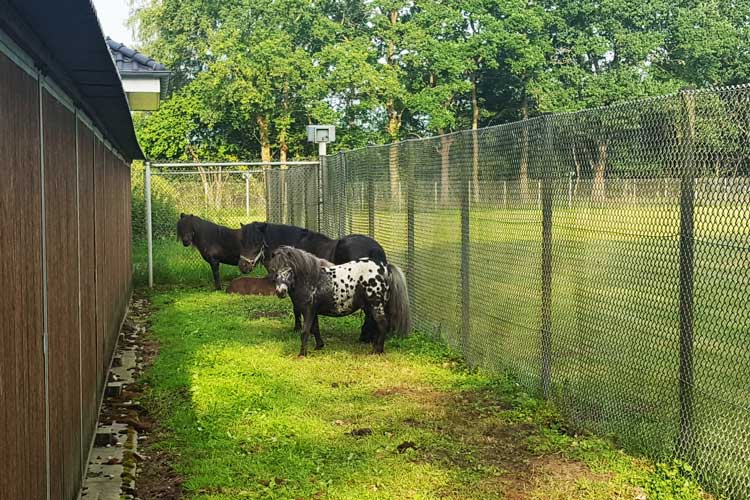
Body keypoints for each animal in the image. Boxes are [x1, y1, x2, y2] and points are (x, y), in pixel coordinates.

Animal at [239, 222, 388, 342]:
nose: (243, 266)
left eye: (257, 243)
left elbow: (296, 308)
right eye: (242, 242)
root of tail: (374, 249)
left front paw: (298, 328)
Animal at [268, 245, 412, 356]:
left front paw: (302, 354)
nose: (281, 291)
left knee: (382, 325)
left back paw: (377, 351)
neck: (311, 280)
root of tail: (384, 268)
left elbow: (305, 332)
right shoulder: (313, 311)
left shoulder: (308, 311)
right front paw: (319, 346)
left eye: (289, 269)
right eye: (274, 270)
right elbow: (315, 328)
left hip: (376, 305)